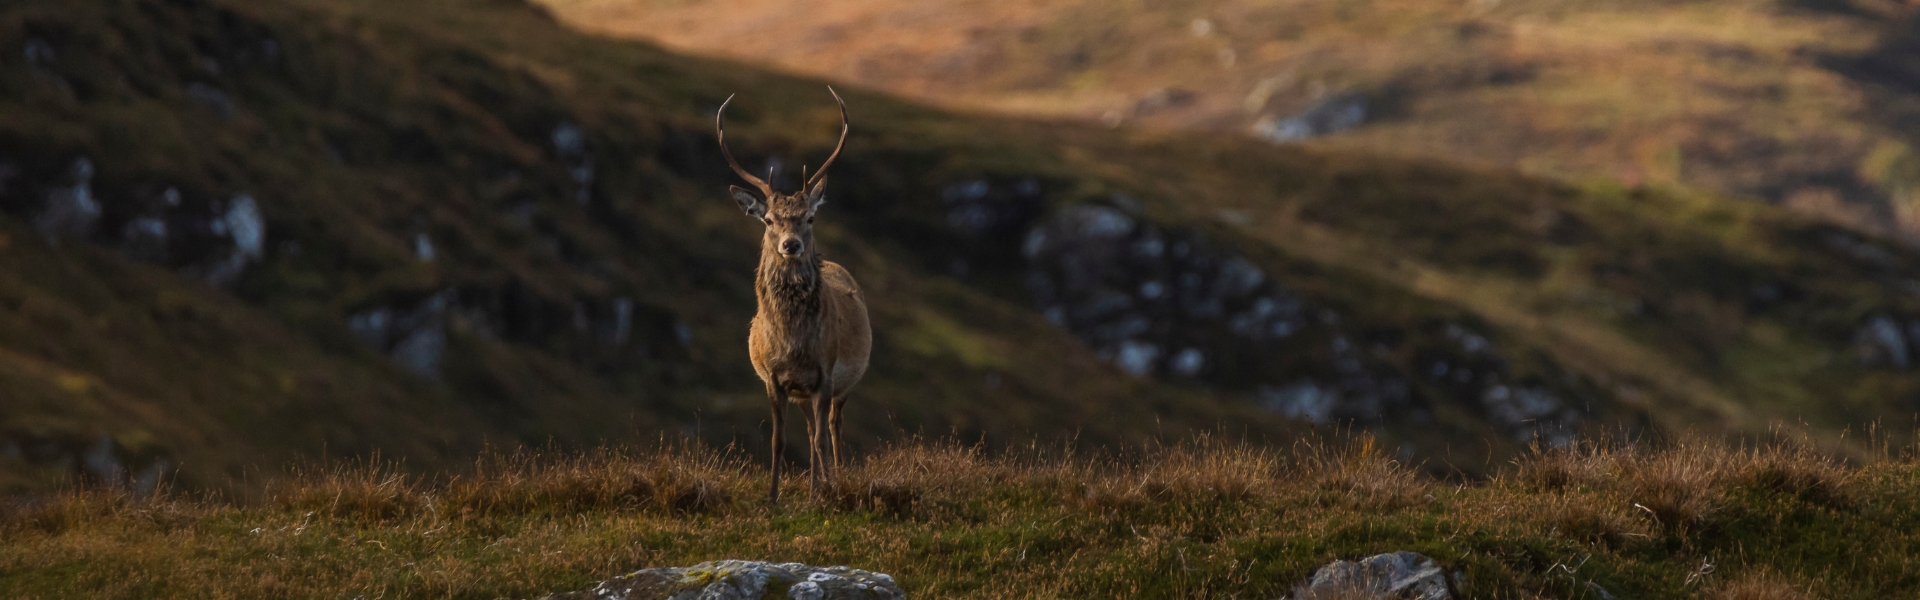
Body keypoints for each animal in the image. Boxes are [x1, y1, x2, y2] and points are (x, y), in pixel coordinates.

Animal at [718, 86, 875, 503]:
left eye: (810, 217)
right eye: (769, 219)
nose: (790, 245)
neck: (793, 343)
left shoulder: (825, 372)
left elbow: (820, 439)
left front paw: (818, 495)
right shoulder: (774, 379)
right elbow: (778, 440)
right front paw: (772, 498)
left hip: (843, 383)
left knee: (832, 427)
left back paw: (833, 480)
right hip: (802, 394)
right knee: (810, 429)